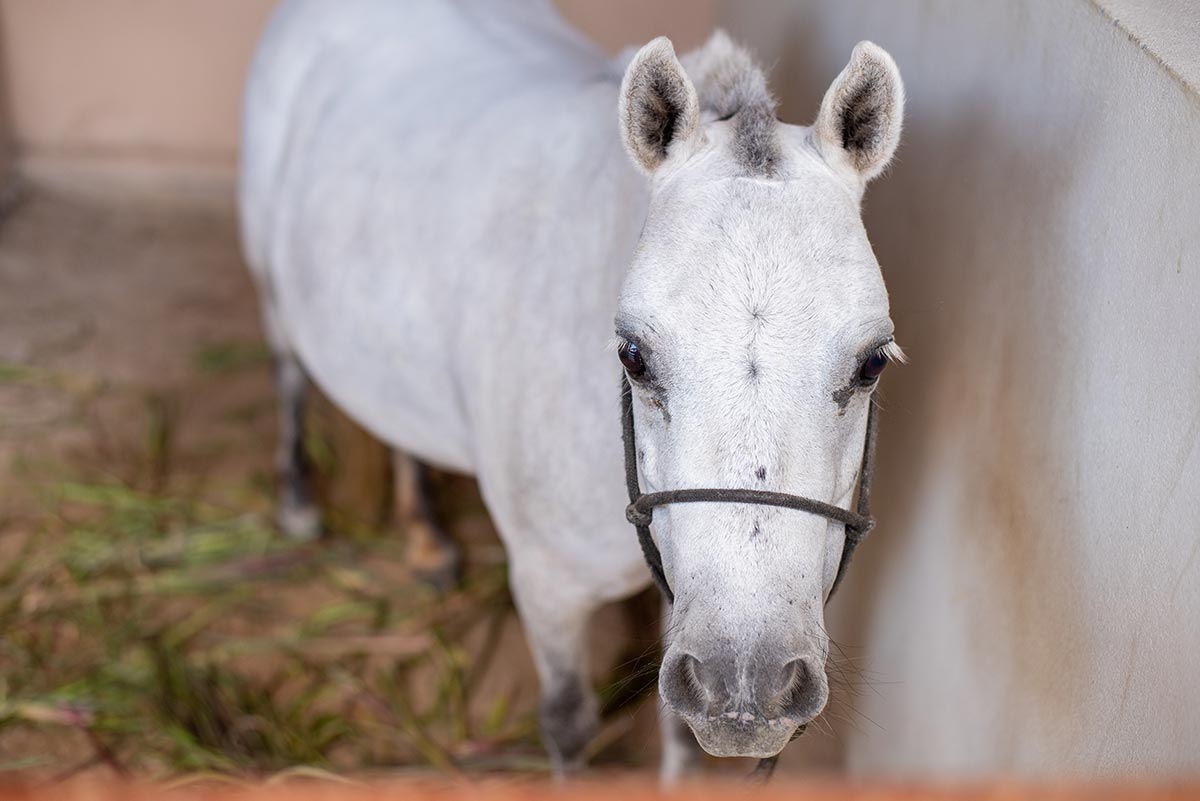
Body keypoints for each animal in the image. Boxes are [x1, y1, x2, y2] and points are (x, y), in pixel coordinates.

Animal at [239, 0, 904, 779]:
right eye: (633, 355)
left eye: (872, 363)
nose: (749, 684)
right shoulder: (547, 587)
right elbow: (567, 720)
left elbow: (678, 738)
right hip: (271, 293)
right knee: (288, 374)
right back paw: (298, 501)